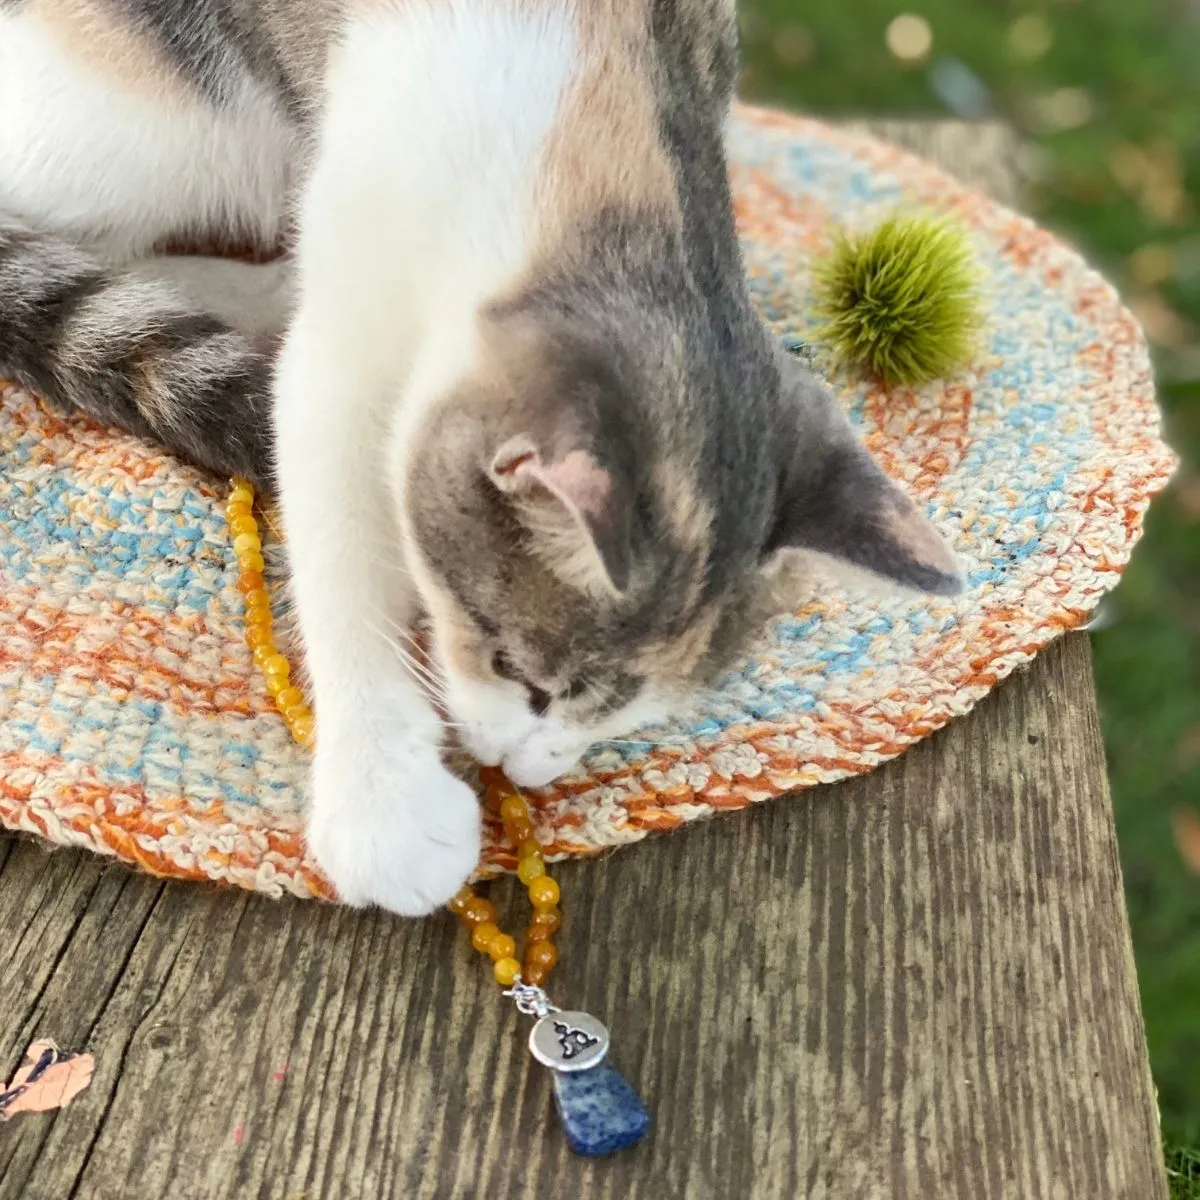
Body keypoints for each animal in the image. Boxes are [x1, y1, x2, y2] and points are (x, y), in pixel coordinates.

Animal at [0, 0, 960, 912]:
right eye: (521, 677)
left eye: (627, 718)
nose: (531, 770)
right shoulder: (347, 323)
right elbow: (338, 527)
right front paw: (382, 798)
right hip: (159, 120)